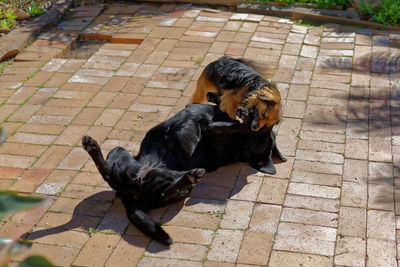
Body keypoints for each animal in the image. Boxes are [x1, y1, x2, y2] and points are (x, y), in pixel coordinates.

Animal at [83, 104, 286, 245]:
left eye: (260, 140)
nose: (251, 113)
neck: (240, 146)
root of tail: (129, 194)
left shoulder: (214, 130)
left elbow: (235, 126)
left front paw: (262, 124)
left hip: (163, 179)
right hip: (119, 150)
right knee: (110, 174)